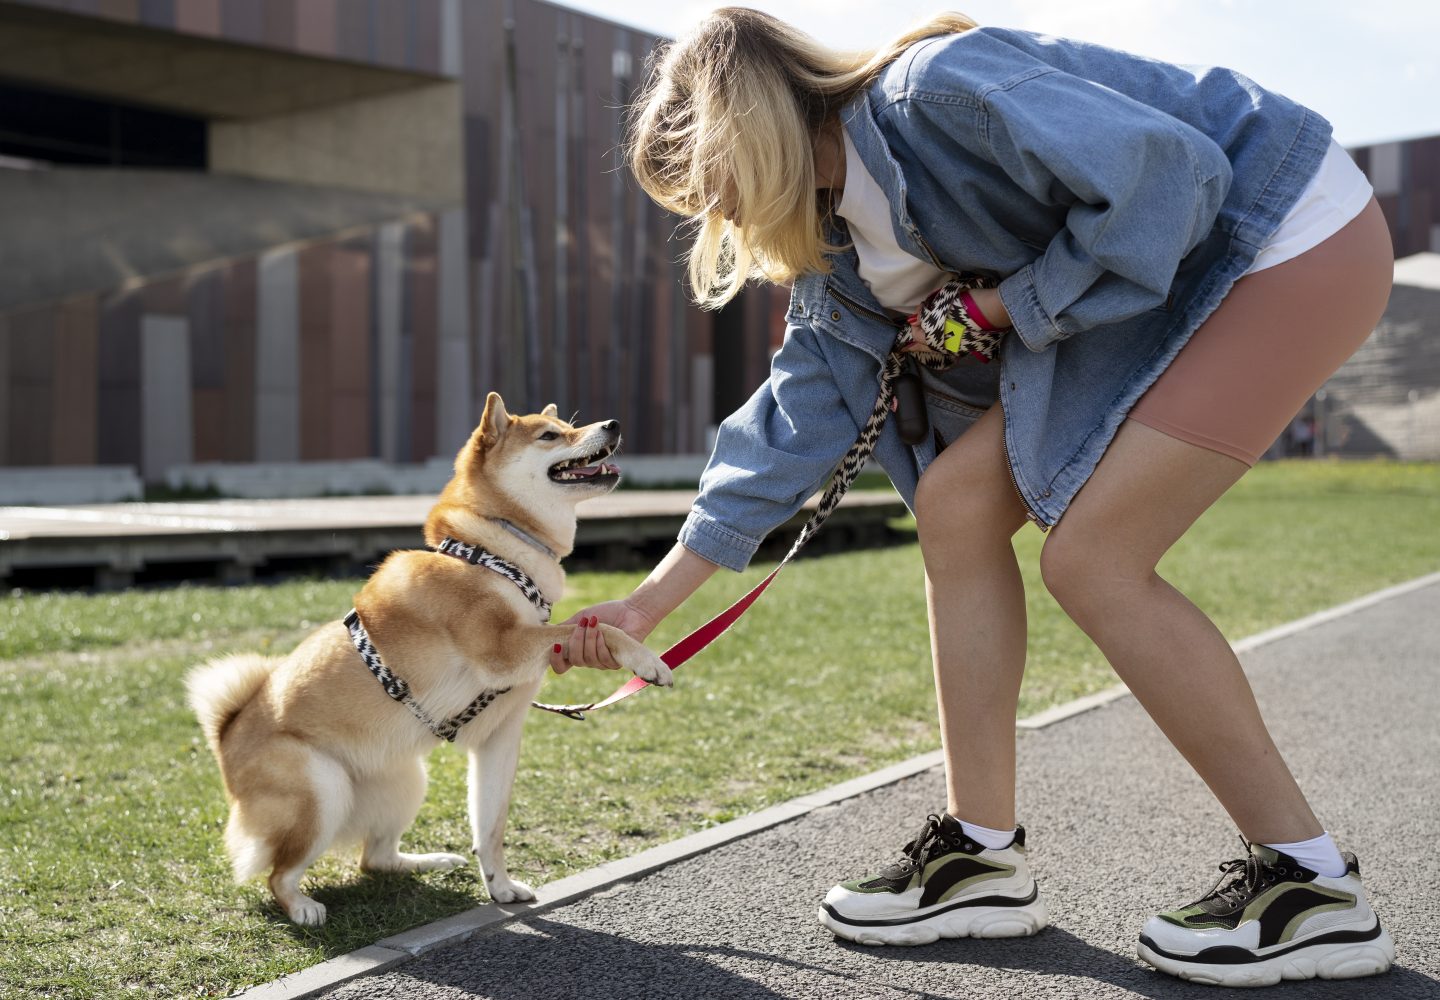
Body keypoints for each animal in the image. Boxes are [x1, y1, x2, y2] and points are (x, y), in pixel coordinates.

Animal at [184, 394, 668, 927]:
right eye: (550, 435)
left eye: (567, 425)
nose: (613, 424)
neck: (492, 554)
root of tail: (226, 735)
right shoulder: (502, 650)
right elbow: (600, 629)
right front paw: (647, 660)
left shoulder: (500, 737)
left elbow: (490, 828)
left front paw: (500, 888)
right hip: (323, 790)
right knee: (278, 876)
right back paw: (304, 908)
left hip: (408, 781)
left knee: (374, 859)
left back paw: (429, 860)